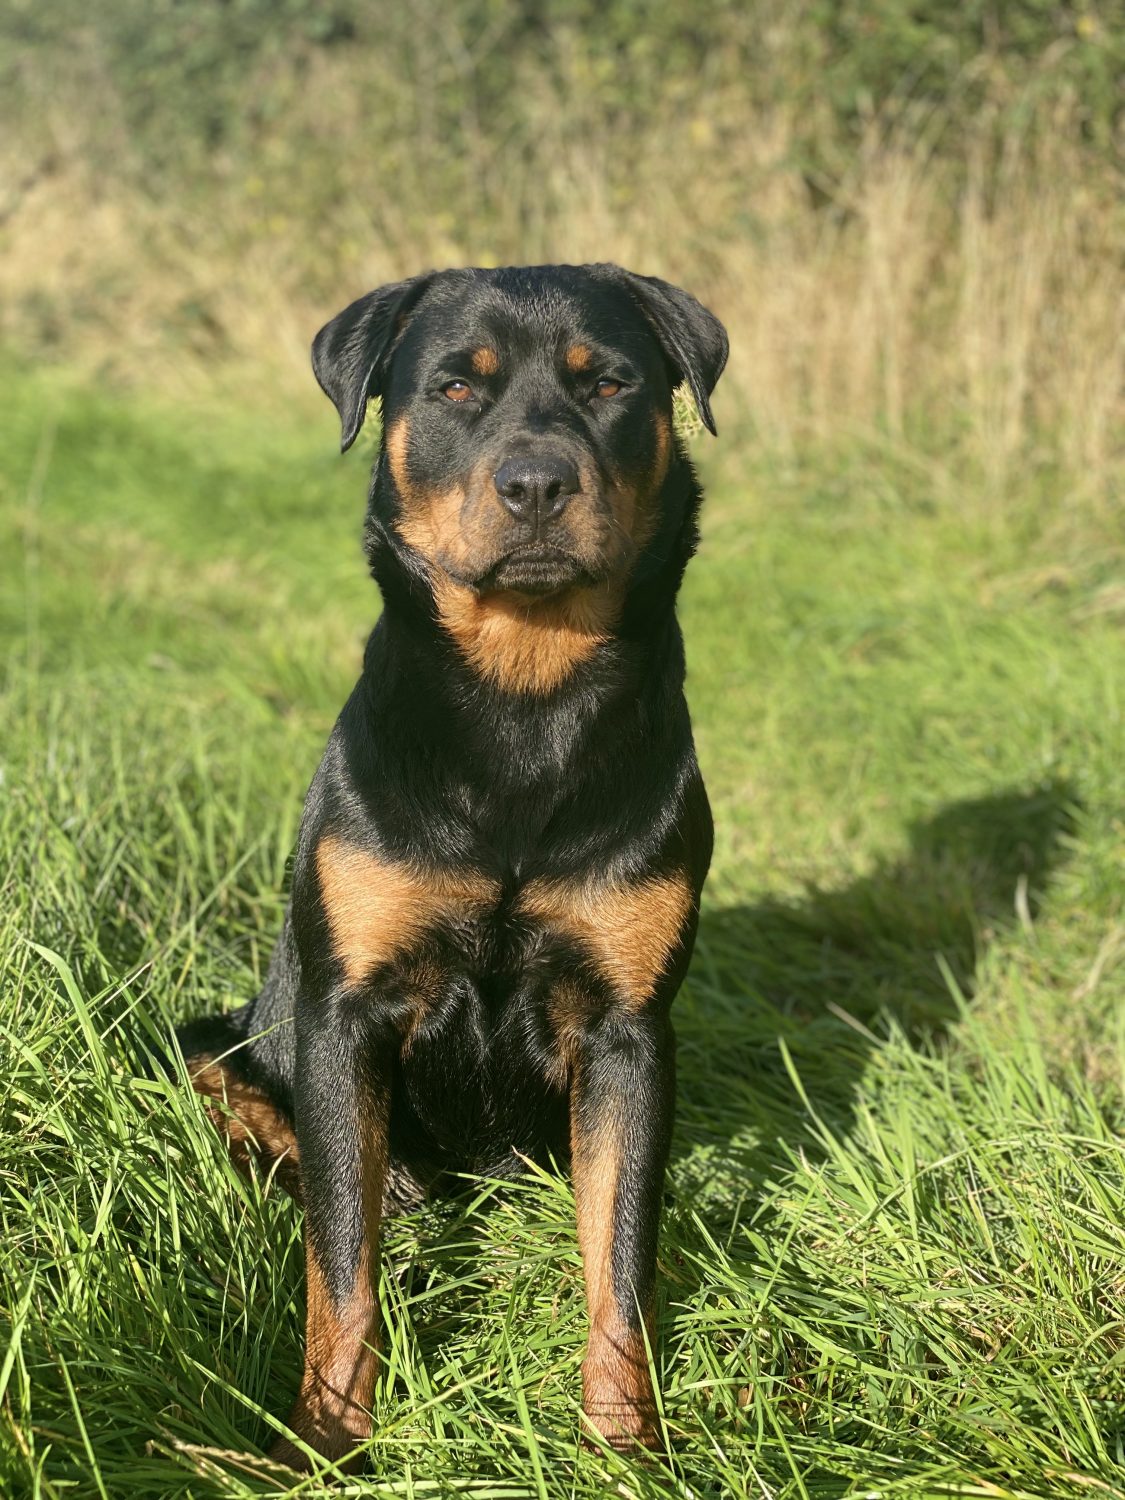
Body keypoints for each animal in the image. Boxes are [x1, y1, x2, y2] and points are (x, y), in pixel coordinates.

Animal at [176, 262, 727, 1469]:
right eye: (455, 388)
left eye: (609, 383)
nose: (536, 483)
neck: (524, 695)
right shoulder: (348, 1012)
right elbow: (340, 1263)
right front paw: (328, 1440)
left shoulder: (628, 1030)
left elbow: (621, 1261)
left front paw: (625, 1447)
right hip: (214, 1042)